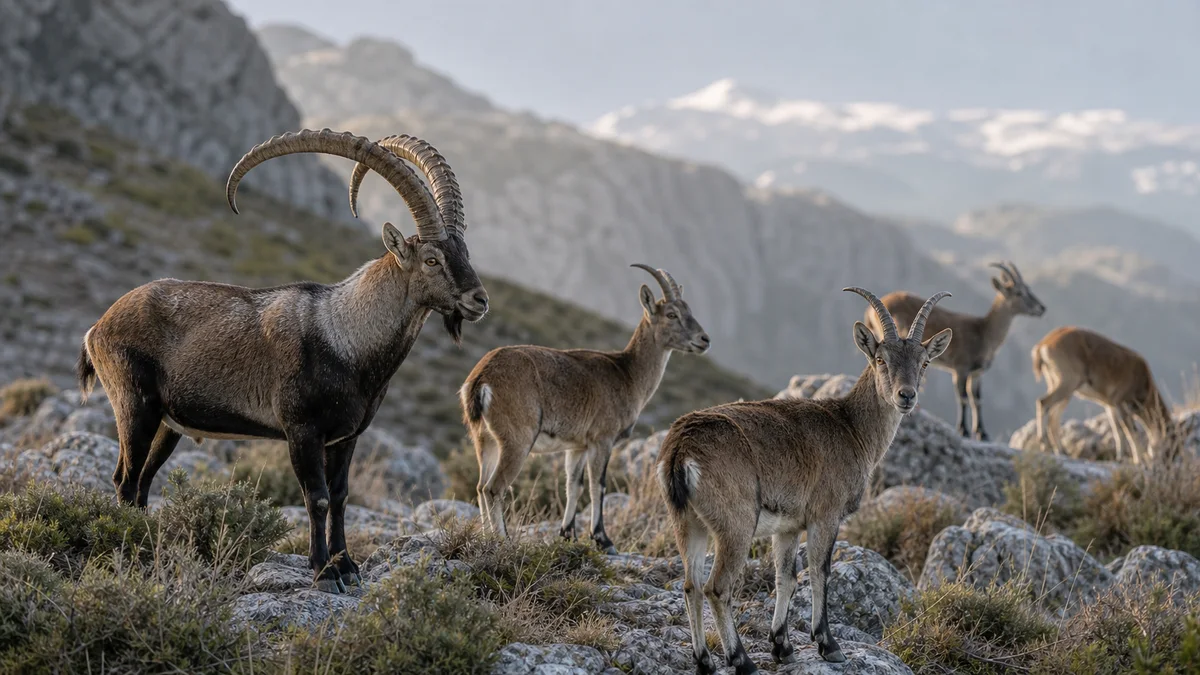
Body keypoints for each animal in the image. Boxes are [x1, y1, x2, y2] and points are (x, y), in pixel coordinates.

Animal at [76, 129, 488, 593]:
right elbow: (317, 497)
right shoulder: (301, 430)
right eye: (432, 259)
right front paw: (324, 572)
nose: (479, 301)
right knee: (125, 480)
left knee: (144, 481)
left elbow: (341, 495)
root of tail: (99, 326)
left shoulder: (346, 437)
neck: (345, 336)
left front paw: (348, 567)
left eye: (465, 252)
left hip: (169, 424)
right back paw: (130, 547)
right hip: (135, 406)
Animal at [460, 264, 710, 552]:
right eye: (672, 314)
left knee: (480, 487)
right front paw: (602, 539)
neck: (627, 374)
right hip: (517, 440)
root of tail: (481, 379)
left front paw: (568, 534)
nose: (704, 339)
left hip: (484, 438)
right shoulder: (602, 439)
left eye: (688, 310)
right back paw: (503, 540)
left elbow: (574, 485)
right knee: (494, 487)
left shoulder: (577, 445)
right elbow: (597, 485)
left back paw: (486, 538)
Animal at [659, 288, 952, 673]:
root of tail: (681, 449)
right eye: (881, 359)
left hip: (687, 520)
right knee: (716, 588)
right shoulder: (825, 515)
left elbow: (786, 577)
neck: (851, 428)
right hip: (735, 524)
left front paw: (782, 646)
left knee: (690, 585)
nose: (906, 396)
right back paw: (741, 660)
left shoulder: (787, 526)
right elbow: (820, 572)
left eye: (924, 363)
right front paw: (829, 645)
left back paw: (705, 661)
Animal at [866, 260, 1044, 440]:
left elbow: (976, 399)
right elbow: (963, 397)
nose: (1041, 308)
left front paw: (982, 433)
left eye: (1028, 288)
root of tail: (869, 312)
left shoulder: (976, 373)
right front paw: (964, 430)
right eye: (1019, 292)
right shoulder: (961, 368)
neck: (983, 332)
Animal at [1033, 326, 1178, 464]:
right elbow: (1131, 431)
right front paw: (1139, 460)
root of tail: (1044, 344)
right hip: (1068, 381)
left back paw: (1061, 451)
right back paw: (1044, 445)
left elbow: (1117, 431)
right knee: (1043, 402)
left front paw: (1120, 457)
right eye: (1172, 443)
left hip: (1060, 385)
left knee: (1053, 416)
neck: (1144, 382)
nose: (1167, 463)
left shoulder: (1110, 406)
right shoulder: (1122, 403)